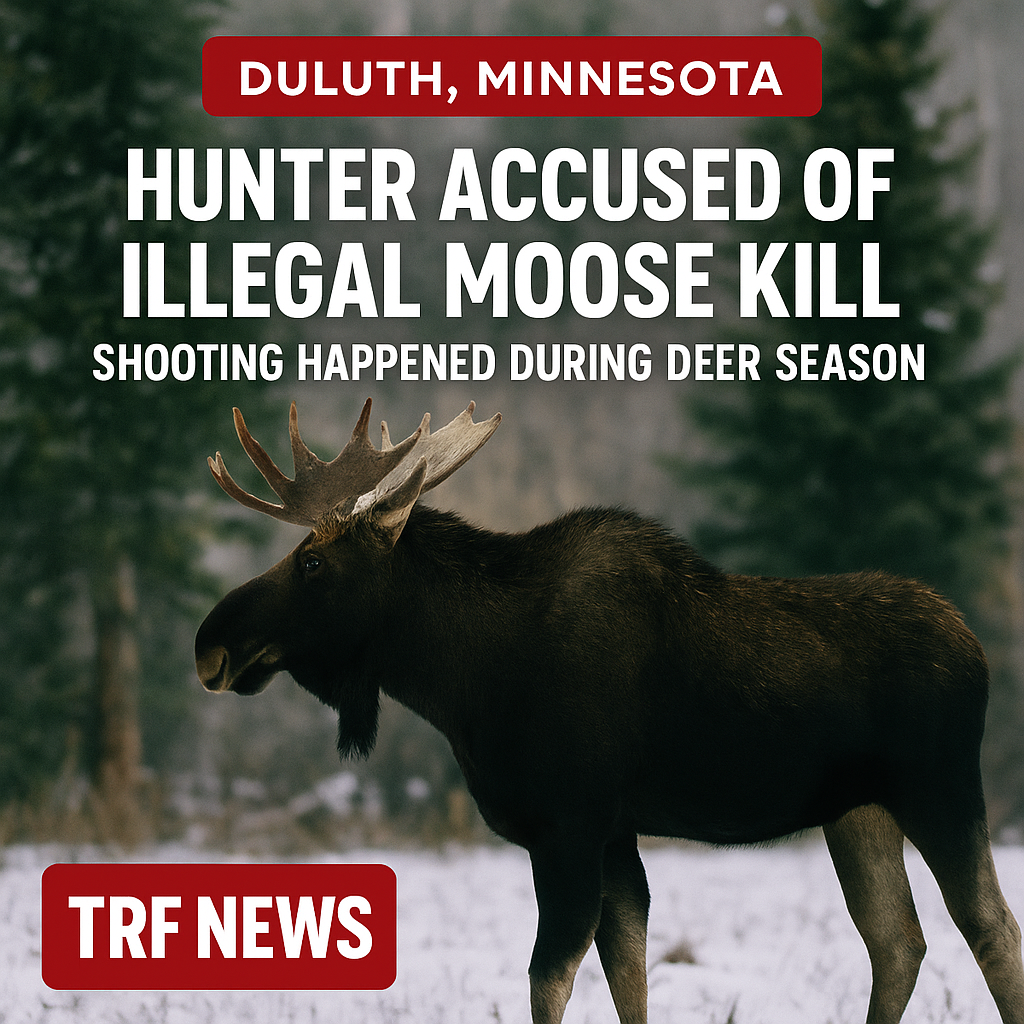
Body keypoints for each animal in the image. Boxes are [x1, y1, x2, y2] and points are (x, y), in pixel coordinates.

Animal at [195, 397, 1024, 1024]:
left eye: (312, 562)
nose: (210, 643)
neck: (465, 681)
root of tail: (976, 649)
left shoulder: (569, 826)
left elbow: (549, 979)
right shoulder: (615, 833)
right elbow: (628, 974)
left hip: (941, 788)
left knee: (992, 930)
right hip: (857, 811)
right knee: (897, 940)